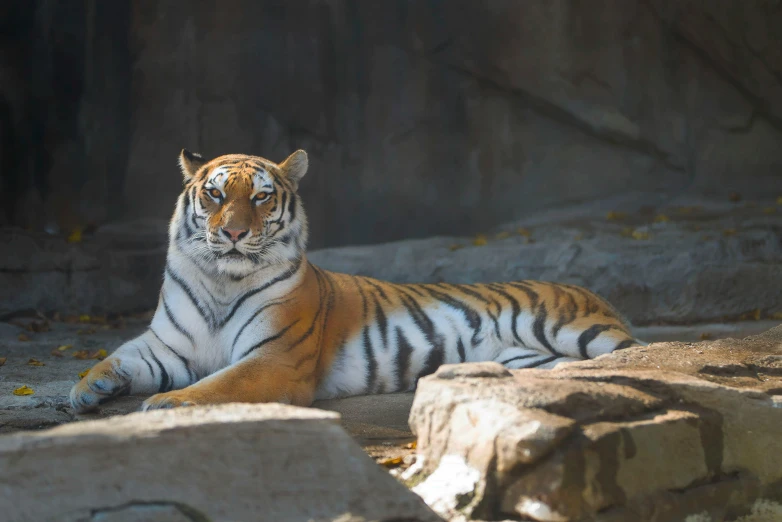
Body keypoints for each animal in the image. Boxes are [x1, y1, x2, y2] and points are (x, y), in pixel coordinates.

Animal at [69, 149, 644, 410]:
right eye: (213, 194)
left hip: (578, 331)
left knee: (634, 351)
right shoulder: (167, 346)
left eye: (260, 196)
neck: (221, 281)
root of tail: (589, 290)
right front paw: (85, 389)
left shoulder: (276, 358)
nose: (232, 233)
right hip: (535, 359)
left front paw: (168, 404)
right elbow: (119, 355)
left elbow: (222, 383)